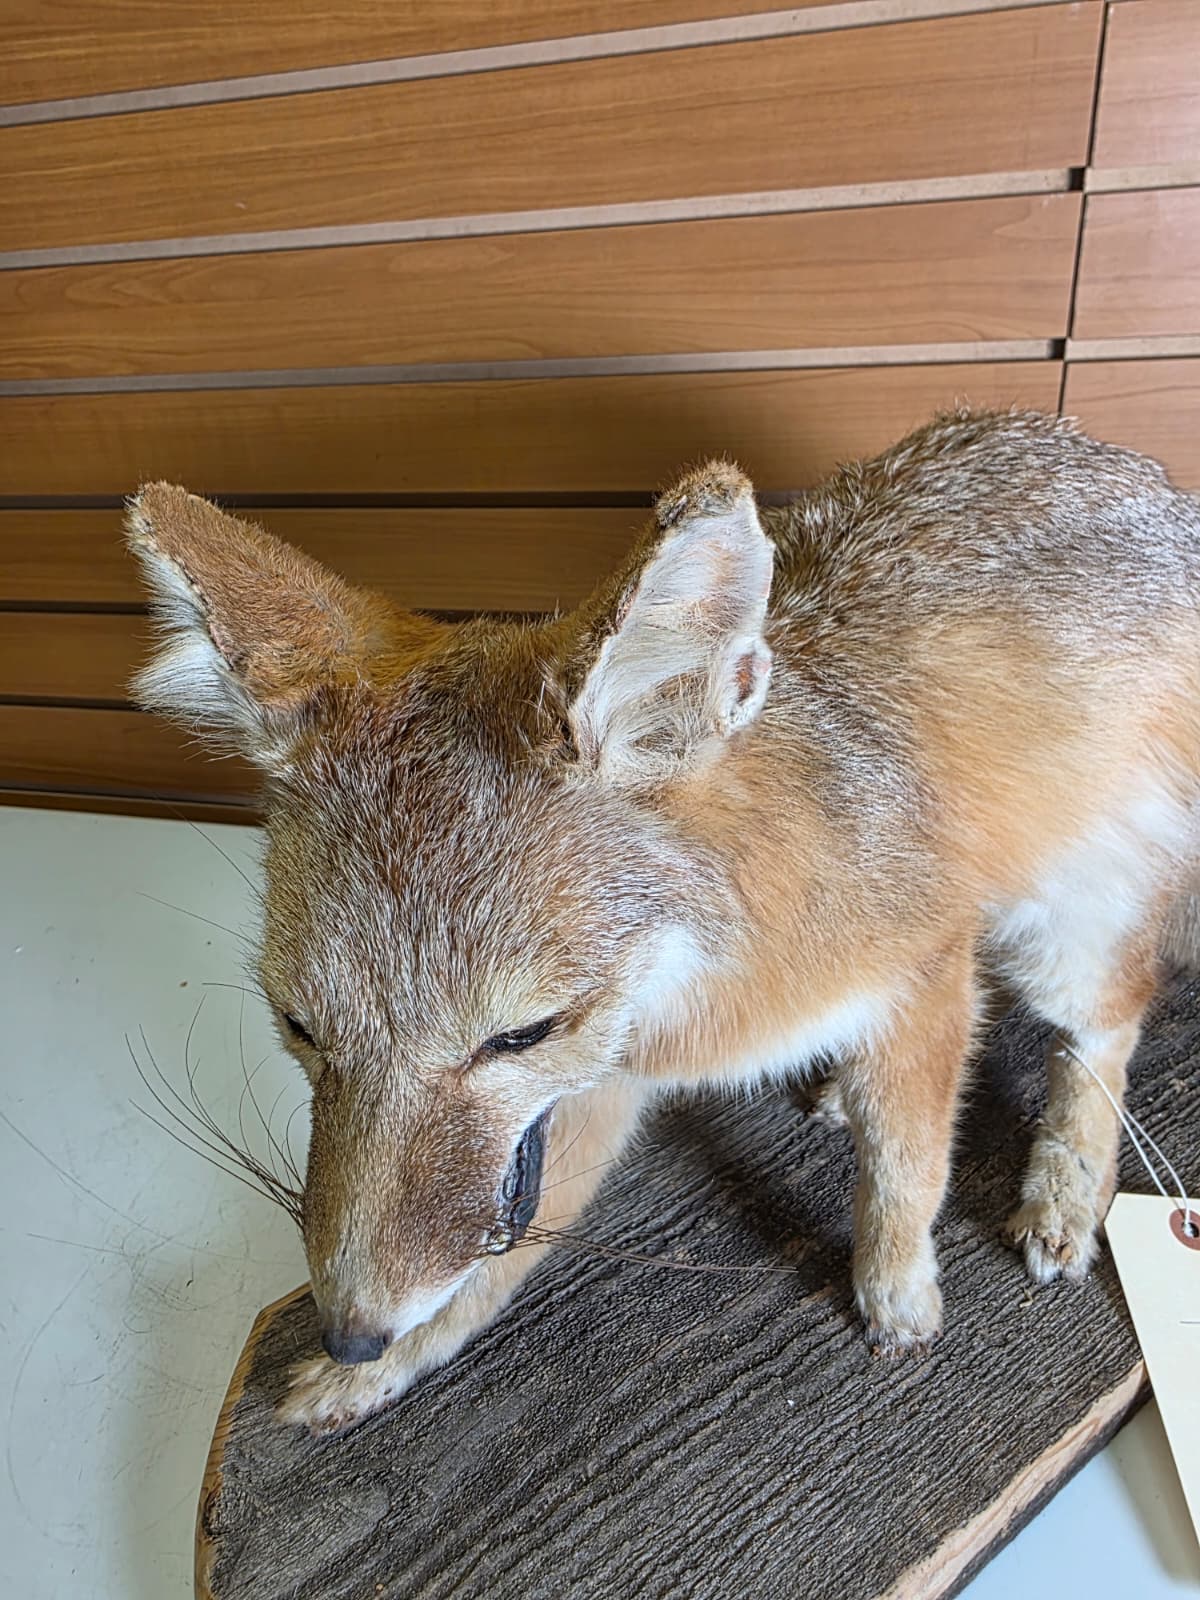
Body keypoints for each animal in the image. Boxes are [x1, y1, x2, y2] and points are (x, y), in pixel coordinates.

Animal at [125, 408, 1200, 1435]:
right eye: (299, 1028)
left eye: (520, 1032)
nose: (350, 1333)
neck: (700, 1007)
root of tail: (1126, 466)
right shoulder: (595, 1090)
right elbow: (492, 1263)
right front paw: (384, 1368)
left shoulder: (929, 970)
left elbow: (906, 1168)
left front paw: (898, 1291)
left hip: (1061, 937)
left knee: (1107, 1032)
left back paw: (1065, 1188)